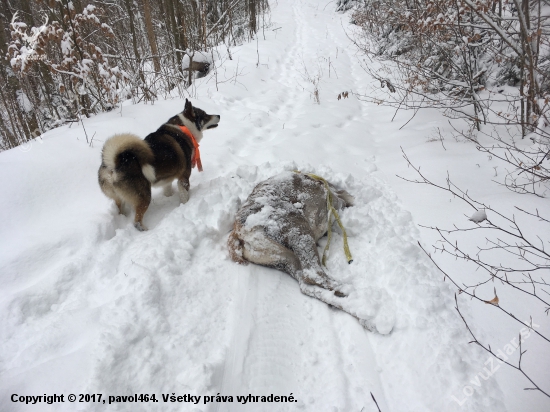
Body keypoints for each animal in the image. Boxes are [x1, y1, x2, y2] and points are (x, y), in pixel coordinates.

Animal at [98, 98, 221, 230]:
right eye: (205, 115)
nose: (219, 115)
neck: (184, 127)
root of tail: (114, 163)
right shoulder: (184, 177)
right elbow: (184, 196)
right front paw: (185, 204)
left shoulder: (168, 178)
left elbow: (167, 189)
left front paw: (168, 197)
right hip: (144, 197)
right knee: (137, 221)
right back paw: (145, 230)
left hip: (120, 199)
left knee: (122, 210)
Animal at [231, 169, 360, 318]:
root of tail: (238, 233)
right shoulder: (336, 200)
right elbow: (348, 198)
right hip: (298, 230)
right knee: (312, 274)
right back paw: (351, 292)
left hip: (284, 259)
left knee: (306, 284)